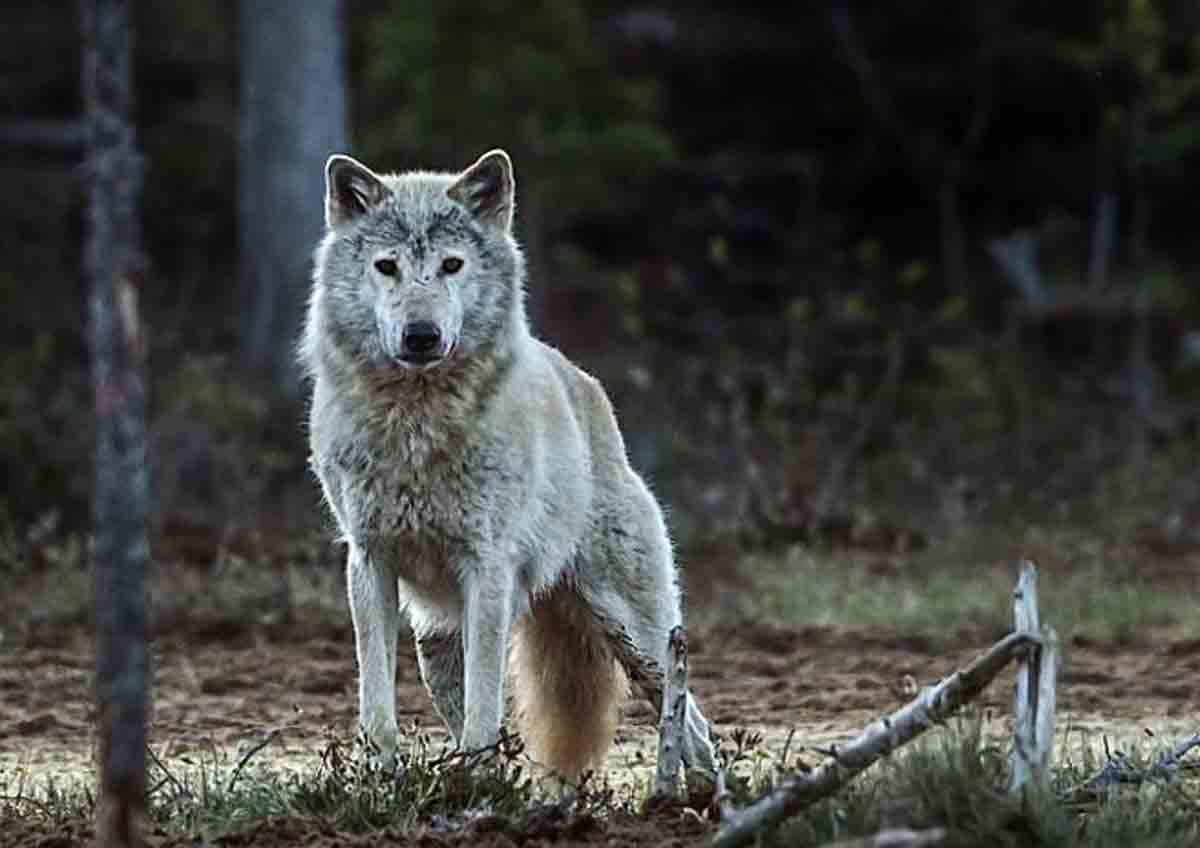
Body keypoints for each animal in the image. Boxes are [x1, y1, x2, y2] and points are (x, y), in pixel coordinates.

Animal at [300, 149, 715, 777]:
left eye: (451, 265)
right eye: (387, 267)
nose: (421, 335)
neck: (417, 428)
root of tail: (587, 386)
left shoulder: (486, 568)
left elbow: (486, 704)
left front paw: (476, 779)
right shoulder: (368, 564)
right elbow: (377, 704)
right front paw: (381, 777)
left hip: (637, 637)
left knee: (693, 726)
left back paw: (700, 794)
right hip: (436, 645)